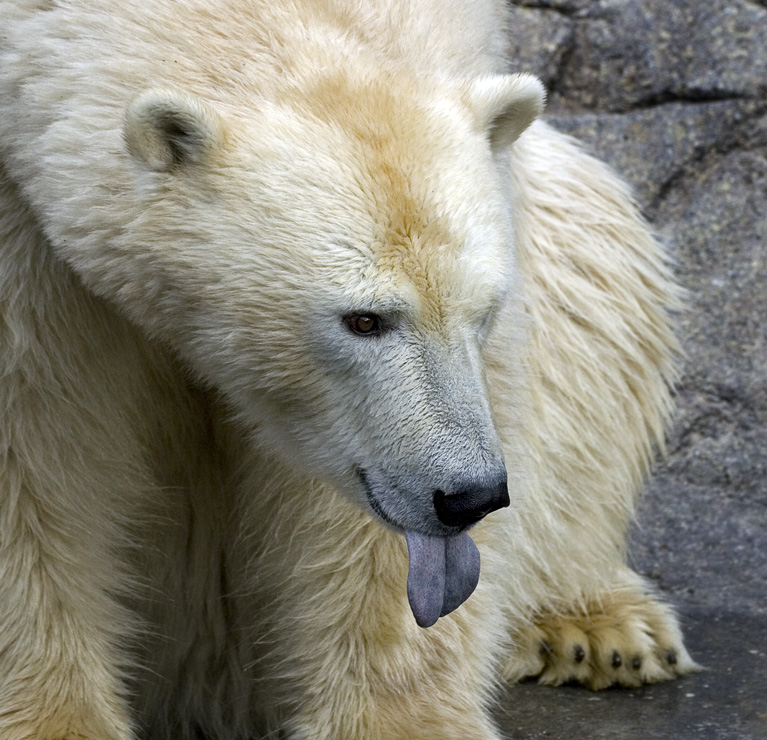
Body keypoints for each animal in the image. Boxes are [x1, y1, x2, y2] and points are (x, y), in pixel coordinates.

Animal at [0, 1, 696, 740]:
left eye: (483, 307)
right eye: (362, 319)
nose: (470, 495)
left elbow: (362, 517)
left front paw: (401, 719)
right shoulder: (19, 224)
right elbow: (33, 445)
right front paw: (55, 720)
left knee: (599, 267)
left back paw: (599, 629)